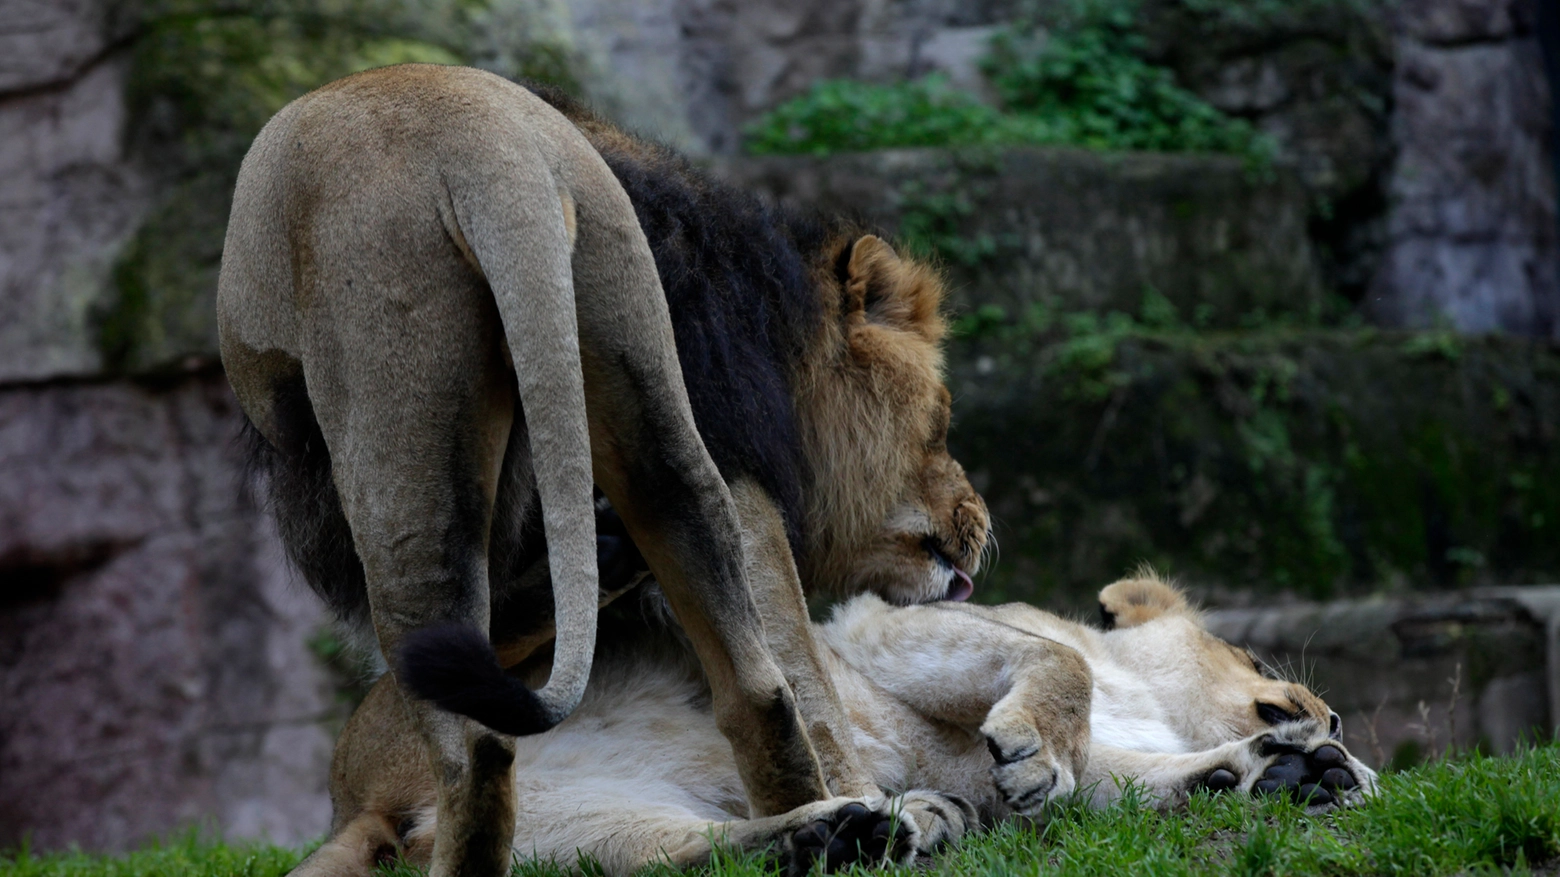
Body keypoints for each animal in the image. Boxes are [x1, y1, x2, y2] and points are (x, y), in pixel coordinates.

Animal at [219, 63, 985, 873]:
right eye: (941, 424)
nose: (978, 520)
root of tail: (486, 158)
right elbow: (800, 660)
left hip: (404, 427)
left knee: (474, 725)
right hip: (644, 395)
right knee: (751, 683)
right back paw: (831, 822)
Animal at [287, 571, 1372, 867]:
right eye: (1259, 661)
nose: (1336, 720)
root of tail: (354, 797)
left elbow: (1124, 782)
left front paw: (1292, 774)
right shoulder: (886, 630)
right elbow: (1055, 665)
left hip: (580, 818)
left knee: (685, 854)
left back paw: (870, 830)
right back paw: (870, 824)